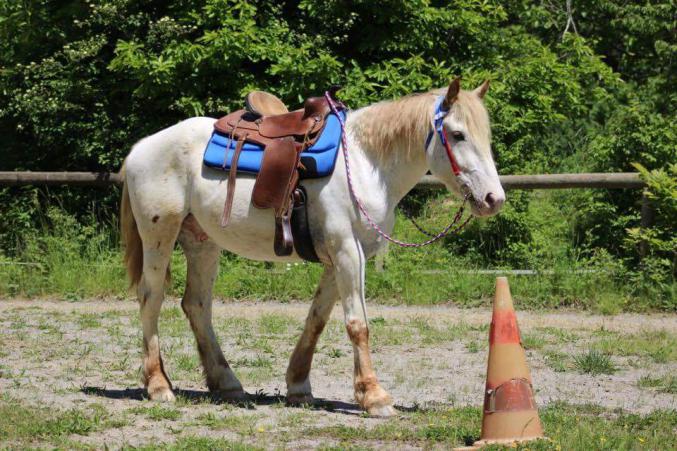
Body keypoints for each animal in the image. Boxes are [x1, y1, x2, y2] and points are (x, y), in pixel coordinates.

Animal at [119, 78, 505, 417]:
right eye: (457, 134)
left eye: (486, 135)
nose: (494, 199)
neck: (366, 164)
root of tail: (141, 148)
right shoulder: (348, 251)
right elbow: (358, 324)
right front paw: (374, 396)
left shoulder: (340, 258)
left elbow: (317, 320)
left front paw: (299, 386)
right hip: (159, 234)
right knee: (151, 298)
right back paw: (159, 385)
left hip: (203, 242)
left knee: (197, 305)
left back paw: (227, 383)